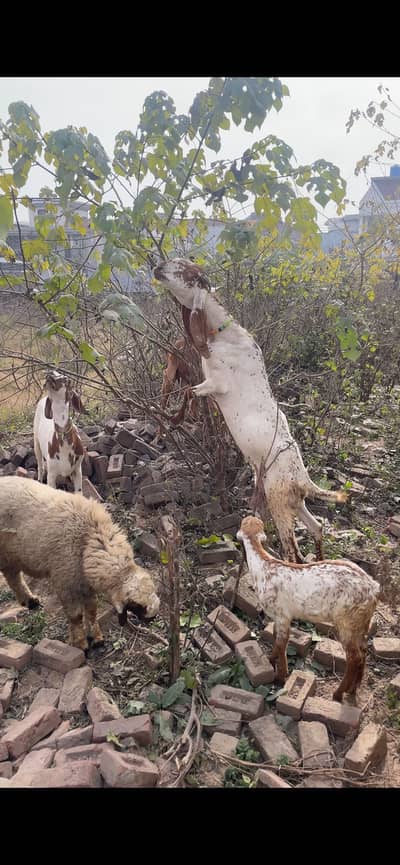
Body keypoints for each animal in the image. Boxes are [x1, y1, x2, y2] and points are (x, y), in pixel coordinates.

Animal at [0, 477, 160, 652]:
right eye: (137, 606)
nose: (153, 619)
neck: (91, 538)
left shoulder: (84, 582)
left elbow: (91, 610)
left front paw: (96, 638)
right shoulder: (66, 582)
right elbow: (76, 616)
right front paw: (81, 644)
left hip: (10, 554)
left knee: (12, 575)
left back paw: (29, 601)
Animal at [153, 257, 346, 562]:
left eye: (186, 270)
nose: (158, 267)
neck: (224, 334)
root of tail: (304, 481)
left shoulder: (216, 383)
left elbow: (188, 392)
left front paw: (174, 418)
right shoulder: (207, 382)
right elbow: (189, 393)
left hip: (278, 498)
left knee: (292, 551)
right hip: (293, 501)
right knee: (316, 527)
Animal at [237, 516, 380, 702]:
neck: (263, 568)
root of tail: (373, 588)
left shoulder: (282, 614)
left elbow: (281, 642)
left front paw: (280, 676)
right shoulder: (278, 616)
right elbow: (277, 638)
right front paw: (271, 661)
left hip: (346, 620)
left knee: (354, 658)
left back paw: (338, 694)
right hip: (361, 621)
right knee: (363, 652)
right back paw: (352, 690)